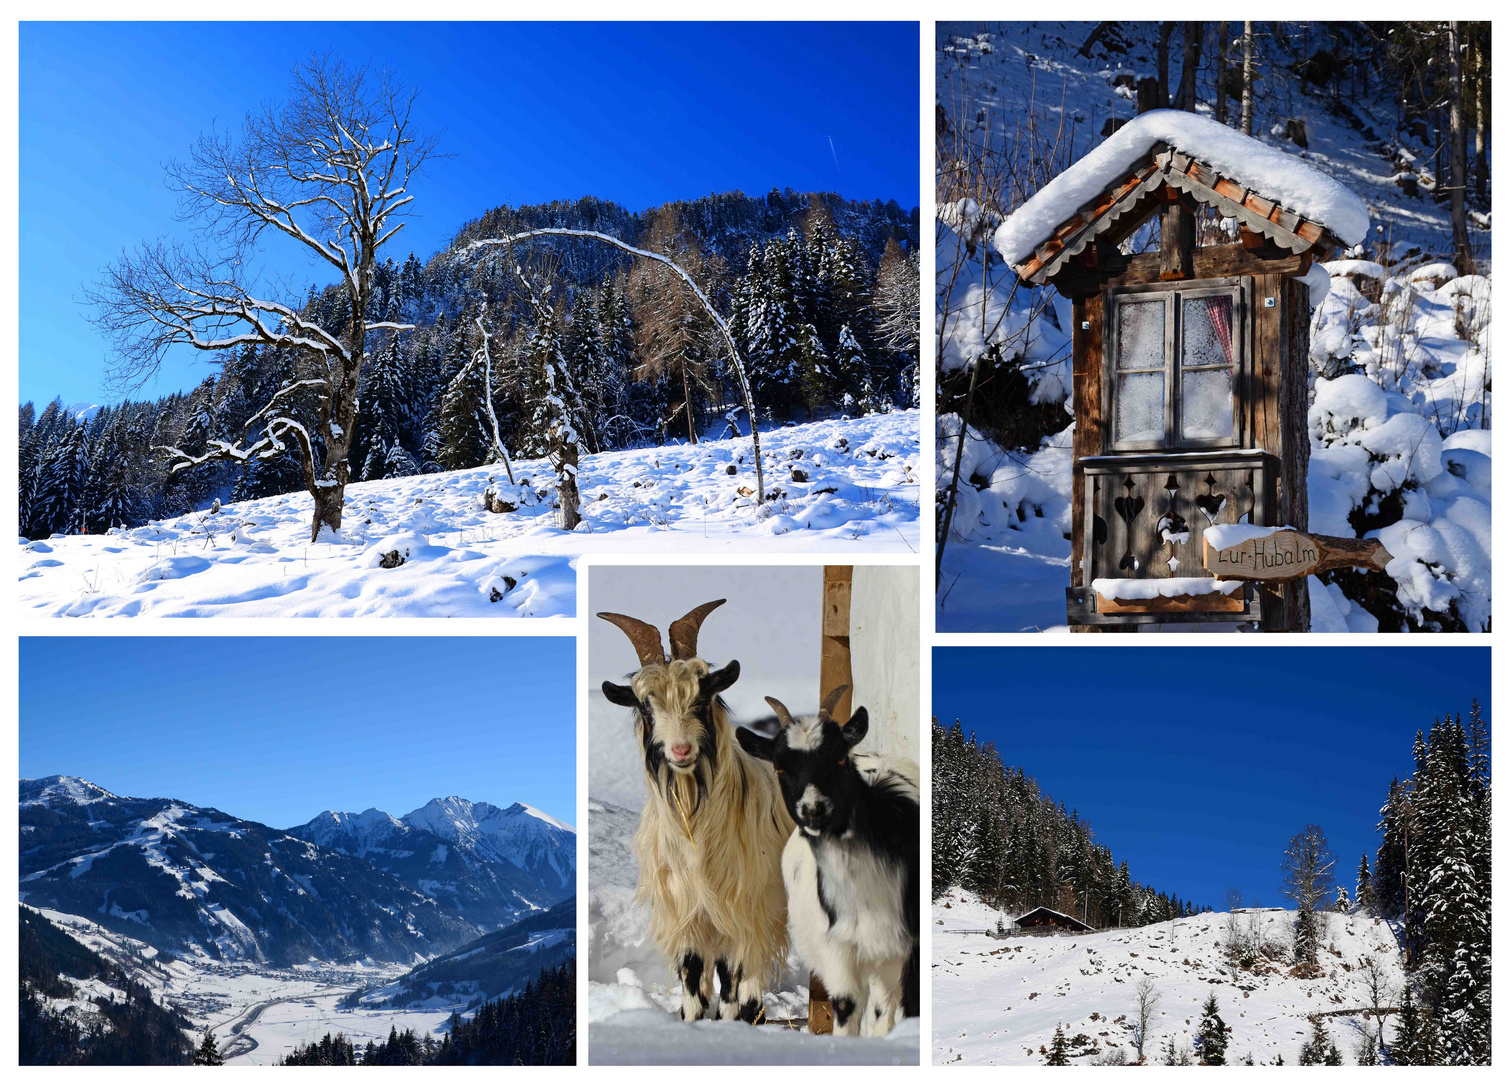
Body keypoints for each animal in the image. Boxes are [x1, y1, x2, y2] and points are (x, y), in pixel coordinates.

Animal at [598, 602, 798, 1022]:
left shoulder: (741, 906)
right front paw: (692, 1019)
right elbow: (692, 971)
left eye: (702, 699)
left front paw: (733, 1020)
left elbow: (736, 976)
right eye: (646, 705)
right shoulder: (686, 908)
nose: (681, 750)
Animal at [734, 686, 913, 1028]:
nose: (813, 811)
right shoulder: (840, 947)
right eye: (779, 767)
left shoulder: (898, 949)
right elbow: (846, 1005)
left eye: (839, 758)